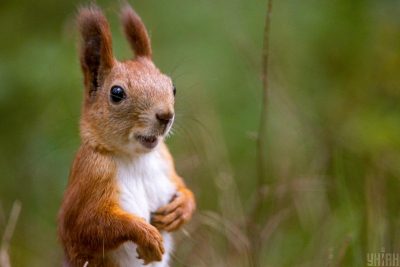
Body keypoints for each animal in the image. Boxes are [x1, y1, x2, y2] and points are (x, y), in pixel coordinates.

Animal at [58, 4, 196, 267]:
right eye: (117, 93)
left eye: (172, 86)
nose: (166, 115)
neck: (136, 158)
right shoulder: (91, 175)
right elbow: (87, 226)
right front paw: (146, 235)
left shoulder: (166, 162)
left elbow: (183, 188)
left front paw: (182, 208)